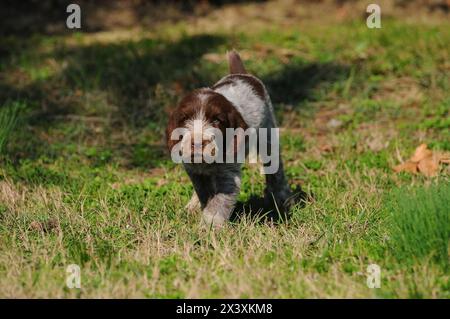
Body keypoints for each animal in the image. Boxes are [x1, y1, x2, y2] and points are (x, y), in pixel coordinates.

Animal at [165, 50, 292, 228]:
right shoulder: (195, 172)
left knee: (276, 170)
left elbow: (218, 202)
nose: (198, 143)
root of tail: (241, 74)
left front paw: (208, 226)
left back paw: (282, 197)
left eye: (217, 120)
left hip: (268, 133)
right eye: (184, 119)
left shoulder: (228, 176)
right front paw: (201, 211)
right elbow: (204, 193)